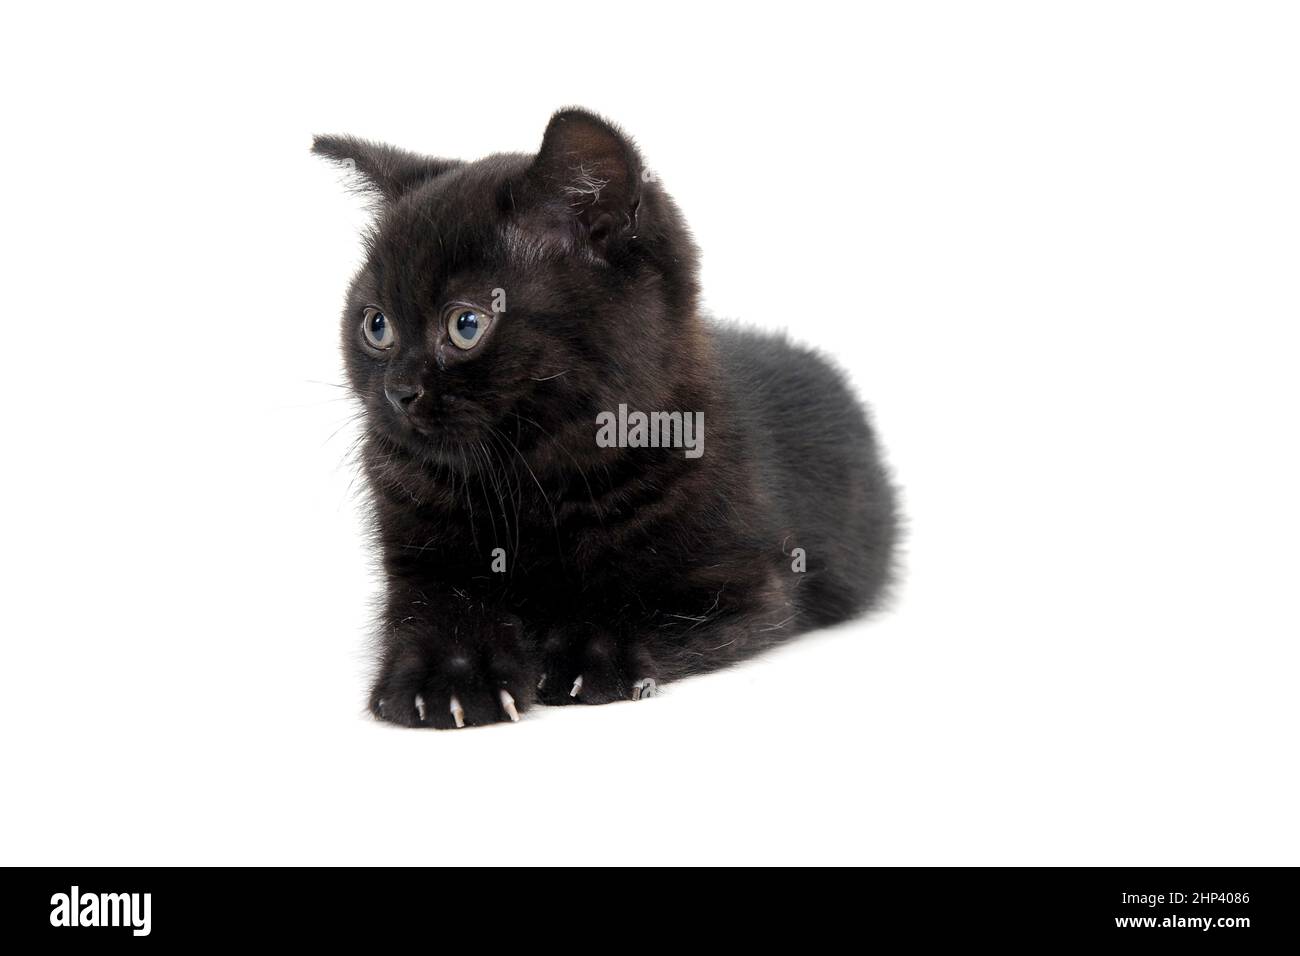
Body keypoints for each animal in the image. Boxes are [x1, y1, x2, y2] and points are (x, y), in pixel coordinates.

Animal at [315, 108, 904, 728]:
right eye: (376, 325)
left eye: (466, 325)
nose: (397, 392)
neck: (531, 481)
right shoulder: (416, 564)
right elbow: (434, 609)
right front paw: (446, 677)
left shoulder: (750, 584)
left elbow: (639, 605)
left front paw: (582, 659)